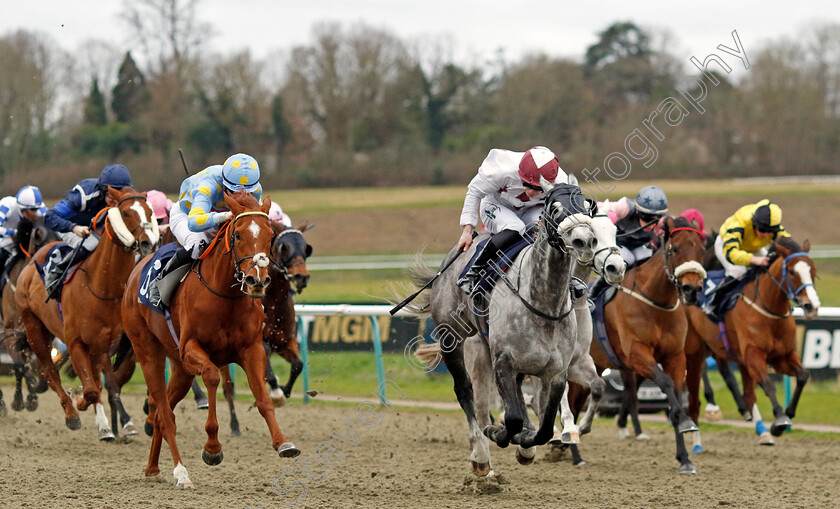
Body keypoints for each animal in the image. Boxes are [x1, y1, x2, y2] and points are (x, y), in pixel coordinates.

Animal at [14, 187, 159, 436]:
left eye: (149, 211)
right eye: (125, 212)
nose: (147, 242)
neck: (102, 288)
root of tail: (33, 260)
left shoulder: (107, 344)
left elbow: (105, 383)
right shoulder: (75, 343)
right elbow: (91, 389)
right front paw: (79, 400)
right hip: (35, 329)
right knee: (49, 371)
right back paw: (72, 413)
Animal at [121, 191, 298, 488]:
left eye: (271, 235)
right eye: (237, 234)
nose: (257, 280)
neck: (226, 296)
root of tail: (134, 273)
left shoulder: (252, 350)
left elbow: (262, 398)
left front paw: (283, 443)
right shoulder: (192, 348)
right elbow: (214, 377)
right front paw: (212, 448)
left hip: (180, 369)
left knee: (161, 413)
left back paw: (153, 467)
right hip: (148, 353)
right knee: (164, 414)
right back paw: (181, 473)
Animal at [584, 216, 708, 474]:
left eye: (701, 250)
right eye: (674, 249)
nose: (691, 289)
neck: (655, 303)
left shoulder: (675, 356)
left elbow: (674, 394)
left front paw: (685, 458)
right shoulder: (637, 354)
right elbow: (665, 383)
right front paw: (687, 421)